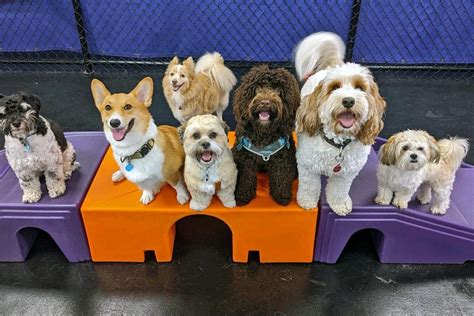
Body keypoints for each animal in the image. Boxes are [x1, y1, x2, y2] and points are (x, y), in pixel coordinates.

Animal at [232, 65, 300, 206]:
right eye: (257, 88)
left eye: (278, 90)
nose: (265, 102)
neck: (263, 133)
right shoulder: (244, 158)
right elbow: (245, 177)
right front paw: (242, 195)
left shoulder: (282, 157)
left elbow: (281, 175)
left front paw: (282, 195)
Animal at [294, 32, 386, 215]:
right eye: (334, 87)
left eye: (360, 87)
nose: (348, 100)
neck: (338, 144)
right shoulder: (308, 166)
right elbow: (309, 187)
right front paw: (306, 201)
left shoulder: (346, 173)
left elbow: (339, 190)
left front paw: (339, 204)